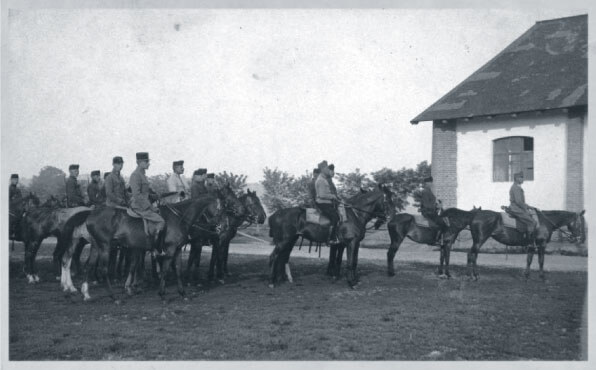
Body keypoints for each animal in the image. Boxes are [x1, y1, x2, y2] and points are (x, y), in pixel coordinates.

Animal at [79, 186, 244, 302]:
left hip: (97, 247)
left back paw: (86, 294)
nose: (224, 226)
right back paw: (113, 297)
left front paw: (182, 293)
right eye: (227, 201)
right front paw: (162, 294)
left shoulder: (177, 250)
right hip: (105, 247)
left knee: (89, 266)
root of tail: (91, 215)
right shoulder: (169, 250)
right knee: (104, 270)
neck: (179, 217)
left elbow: (178, 270)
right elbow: (164, 269)